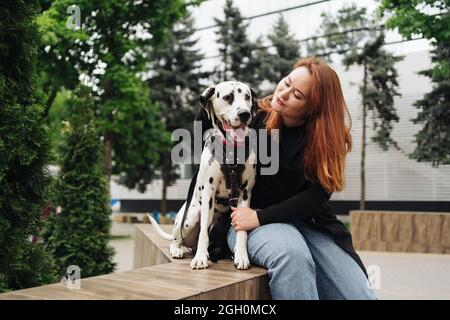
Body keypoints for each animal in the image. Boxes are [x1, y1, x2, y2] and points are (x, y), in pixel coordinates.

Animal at [149, 81, 256, 268]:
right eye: (228, 97)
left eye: (247, 97)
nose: (245, 114)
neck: (231, 151)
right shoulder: (208, 193)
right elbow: (203, 234)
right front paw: (200, 258)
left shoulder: (245, 193)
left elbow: (242, 230)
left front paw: (242, 255)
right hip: (190, 217)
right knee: (178, 239)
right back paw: (179, 250)